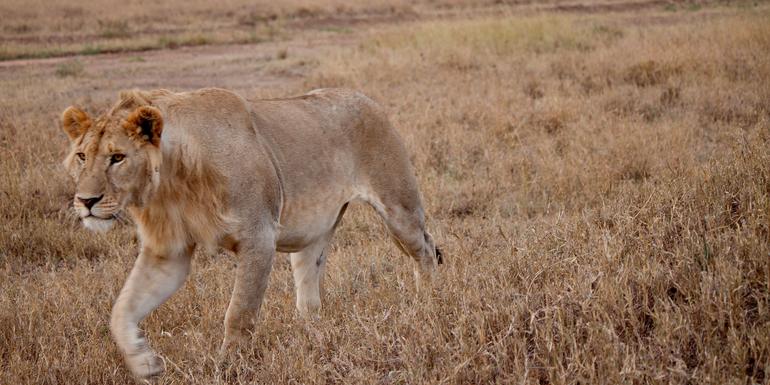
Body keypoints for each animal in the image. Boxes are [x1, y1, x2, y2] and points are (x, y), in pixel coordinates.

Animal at [59, 86, 440, 376]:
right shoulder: (168, 253)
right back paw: (310, 333)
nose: (86, 201)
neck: (173, 181)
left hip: (398, 210)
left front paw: (229, 366)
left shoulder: (260, 238)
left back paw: (426, 303)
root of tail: (365, 97)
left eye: (117, 158)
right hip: (311, 235)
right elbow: (121, 310)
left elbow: (239, 313)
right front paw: (143, 361)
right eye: (82, 156)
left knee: (426, 250)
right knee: (309, 292)